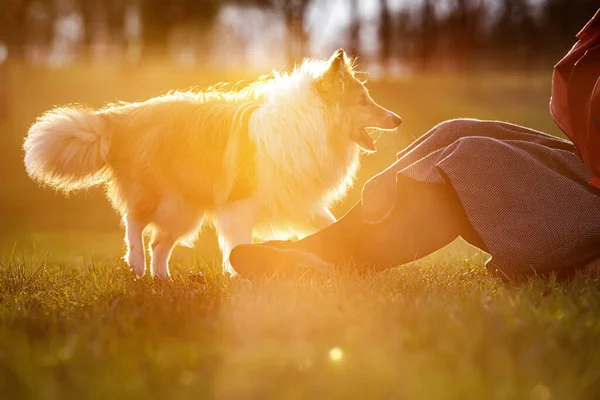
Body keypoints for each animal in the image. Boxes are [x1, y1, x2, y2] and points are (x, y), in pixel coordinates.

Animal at [23, 48, 400, 276]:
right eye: (363, 100)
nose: (397, 120)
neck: (312, 120)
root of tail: (121, 118)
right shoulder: (240, 206)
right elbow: (238, 243)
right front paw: (240, 277)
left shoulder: (297, 202)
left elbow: (328, 223)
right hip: (157, 196)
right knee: (133, 223)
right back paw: (137, 263)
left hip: (183, 209)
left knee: (160, 243)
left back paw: (163, 282)